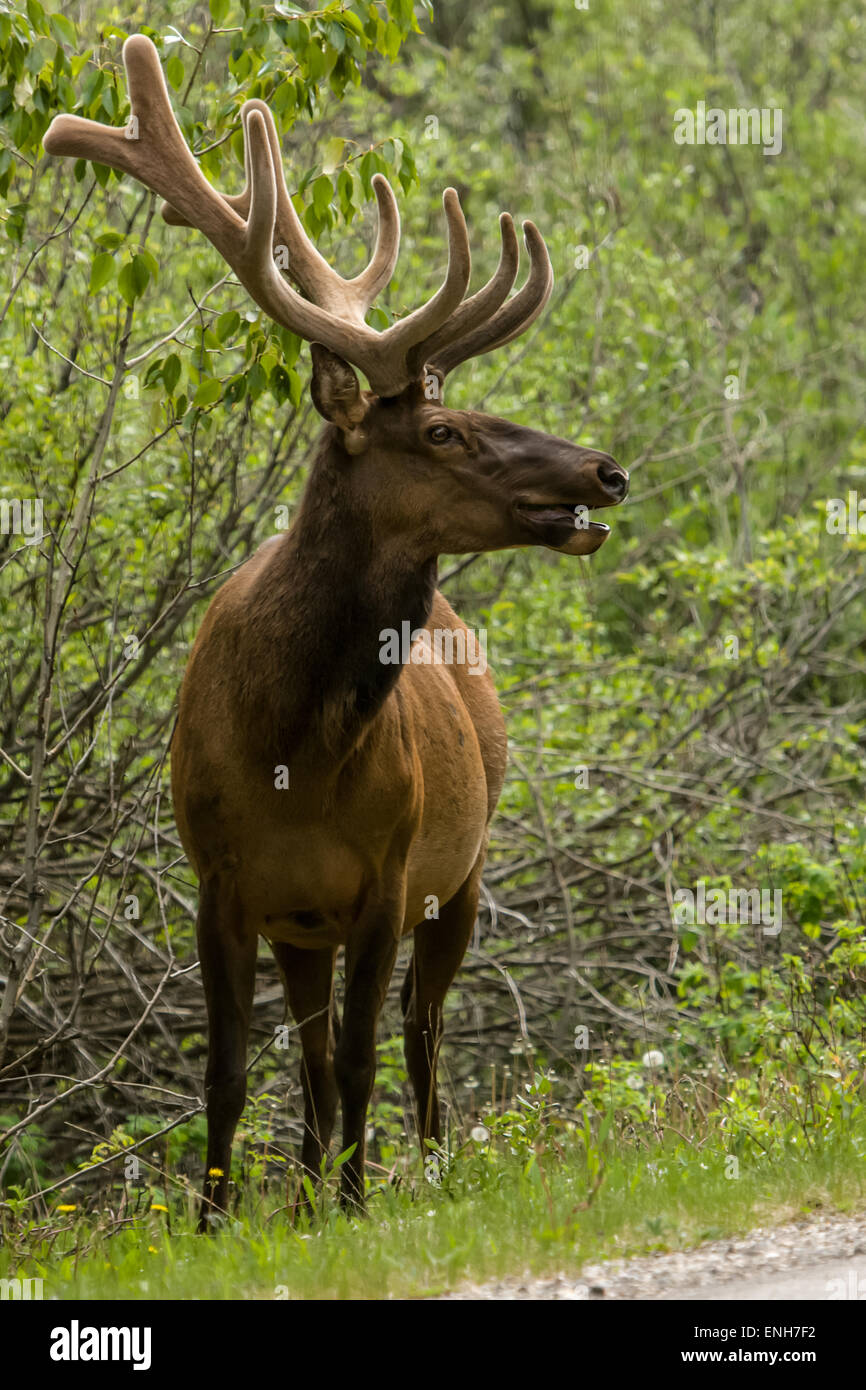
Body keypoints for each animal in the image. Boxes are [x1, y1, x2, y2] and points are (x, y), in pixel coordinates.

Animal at [44, 35, 628, 1227]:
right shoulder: (222, 884)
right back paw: (310, 1189)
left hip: (464, 870)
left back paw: (418, 1172)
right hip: (306, 923)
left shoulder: (385, 878)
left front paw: (361, 1206)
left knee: (418, 1035)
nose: (603, 470)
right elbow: (233, 1070)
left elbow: (363, 1056)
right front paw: (220, 1220)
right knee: (317, 1056)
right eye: (443, 430)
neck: (292, 751)